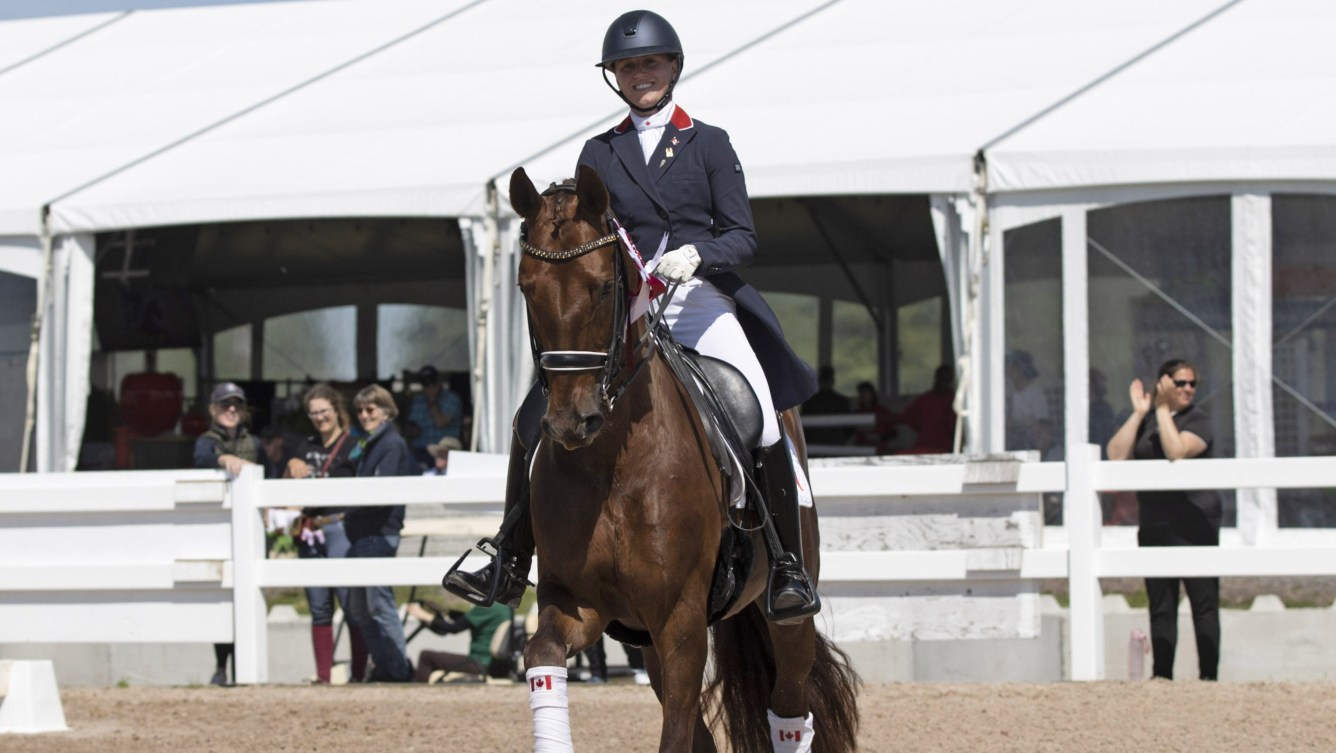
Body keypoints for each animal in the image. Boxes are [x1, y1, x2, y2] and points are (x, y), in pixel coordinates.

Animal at [510, 167, 855, 753]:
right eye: (526, 288)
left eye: (605, 286)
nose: (570, 423)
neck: (611, 464)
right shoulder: (577, 603)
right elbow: (543, 656)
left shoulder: (681, 622)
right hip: (646, 639)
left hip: (789, 622)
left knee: (789, 704)